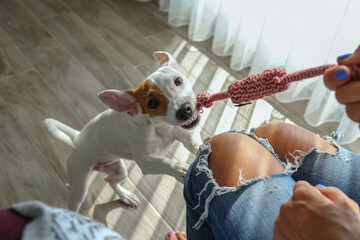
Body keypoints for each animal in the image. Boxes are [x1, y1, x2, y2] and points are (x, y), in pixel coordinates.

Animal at [44, 51, 202, 213]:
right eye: (152, 103)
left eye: (178, 80)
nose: (184, 110)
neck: (160, 127)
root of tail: (76, 138)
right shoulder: (146, 162)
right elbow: (164, 162)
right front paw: (178, 169)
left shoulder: (183, 133)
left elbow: (192, 140)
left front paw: (201, 147)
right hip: (80, 182)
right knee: (75, 203)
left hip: (118, 169)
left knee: (110, 181)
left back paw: (126, 197)